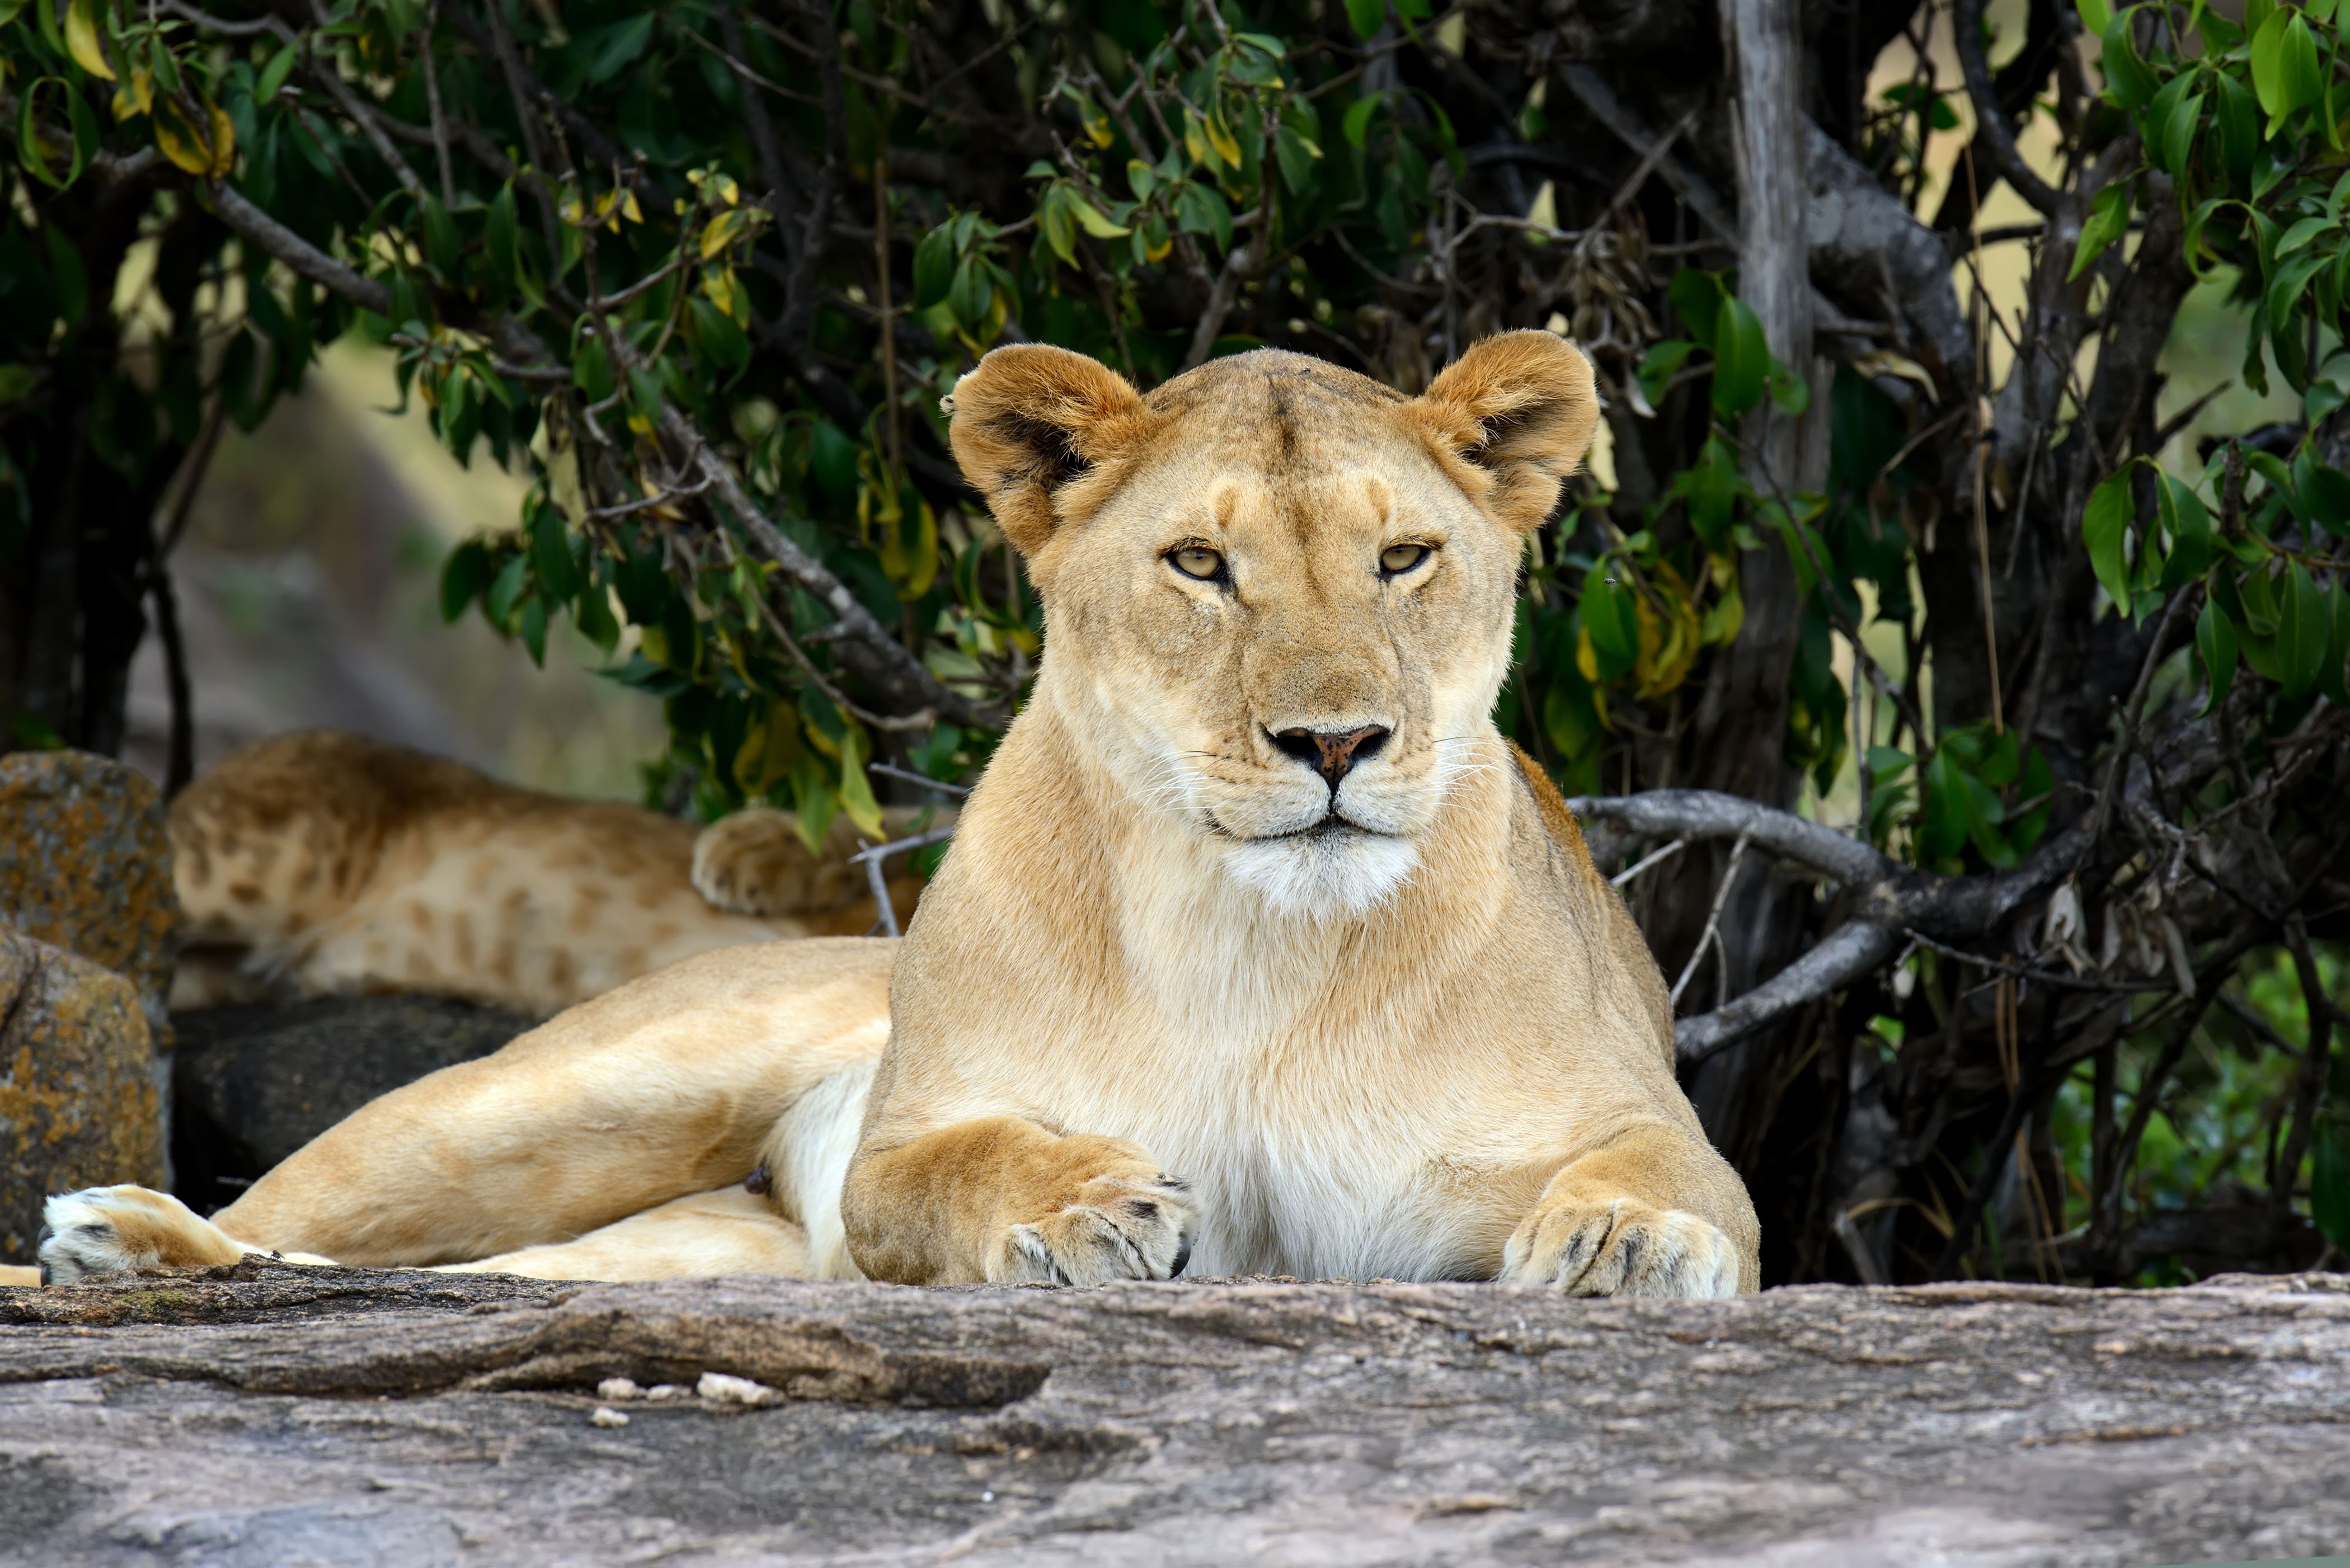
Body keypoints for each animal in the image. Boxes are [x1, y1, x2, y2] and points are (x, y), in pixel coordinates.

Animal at [41, 333, 1767, 1297]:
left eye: (1406, 556)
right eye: (1200, 566)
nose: (1336, 739)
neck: (1253, 945)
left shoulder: (1643, 1126)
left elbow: (1685, 1177)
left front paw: (1625, 1245)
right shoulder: (903, 1150)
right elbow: (949, 1166)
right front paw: (1085, 1204)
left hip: (694, 1259)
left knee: (460, 1280)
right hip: (541, 1103)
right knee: (314, 1227)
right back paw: (122, 1239)